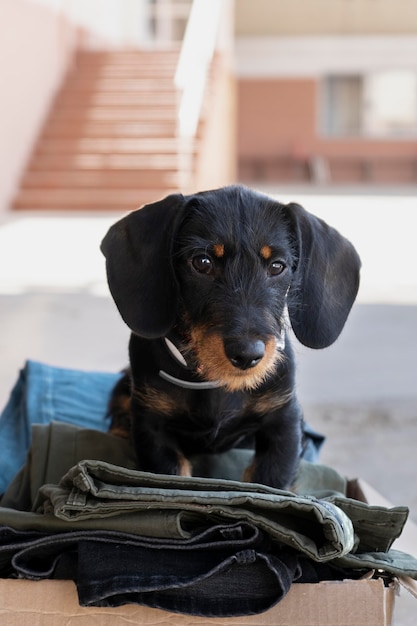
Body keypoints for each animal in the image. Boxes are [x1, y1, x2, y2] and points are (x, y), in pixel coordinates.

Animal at [100, 185, 358, 488]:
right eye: (202, 262)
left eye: (277, 266)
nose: (247, 355)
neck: (216, 383)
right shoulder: (152, 425)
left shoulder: (284, 420)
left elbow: (269, 482)